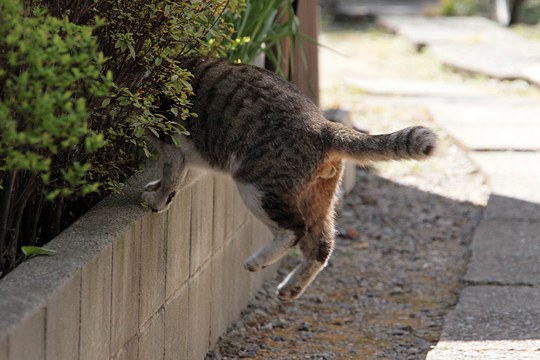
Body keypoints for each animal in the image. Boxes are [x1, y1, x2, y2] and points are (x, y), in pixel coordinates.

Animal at [141, 57, 436, 302]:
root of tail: (324, 126)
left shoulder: (173, 143)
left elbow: (171, 178)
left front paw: (156, 200)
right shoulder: (196, 162)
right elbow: (180, 180)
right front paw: (154, 189)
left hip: (256, 187)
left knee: (294, 229)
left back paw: (257, 261)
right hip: (317, 198)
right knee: (322, 246)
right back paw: (290, 288)